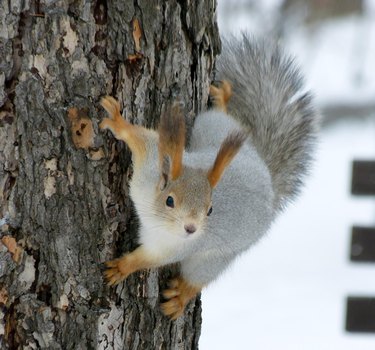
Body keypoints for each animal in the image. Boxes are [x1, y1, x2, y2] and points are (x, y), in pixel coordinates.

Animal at [98, 34, 318, 320]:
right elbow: (142, 139)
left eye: (210, 210)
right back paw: (222, 98)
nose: (191, 228)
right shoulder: (149, 168)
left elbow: (146, 259)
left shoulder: (174, 247)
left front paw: (122, 268)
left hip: (217, 257)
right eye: (170, 200)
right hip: (213, 128)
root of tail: (268, 185)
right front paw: (118, 122)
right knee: (222, 118)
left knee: (199, 276)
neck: (155, 218)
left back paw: (181, 296)